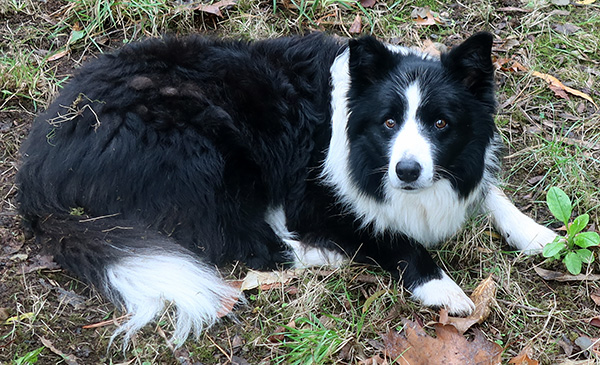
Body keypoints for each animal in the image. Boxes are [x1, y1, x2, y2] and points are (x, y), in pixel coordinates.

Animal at [16, 31, 556, 344]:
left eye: (440, 123)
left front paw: (537, 234)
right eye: (388, 122)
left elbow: (489, 190)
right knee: (236, 240)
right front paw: (442, 287)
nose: (406, 171)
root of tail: (36, 175)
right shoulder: (314, 196)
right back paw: (325, 254)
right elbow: (387, 235)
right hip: (210, 145)